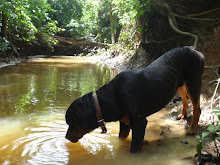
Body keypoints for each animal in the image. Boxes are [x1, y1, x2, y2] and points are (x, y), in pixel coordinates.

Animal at [65, 45, 205, 153]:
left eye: (72, 124)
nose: (66, 137)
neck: (110, 99)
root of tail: (193, 49)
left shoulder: (139, 123)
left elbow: (133, 150)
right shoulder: (125, 122)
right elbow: (121, 139)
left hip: (193, 82)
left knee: (197, 107)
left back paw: (192, 129)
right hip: (179, 84)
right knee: (185, 99)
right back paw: (182, 115)